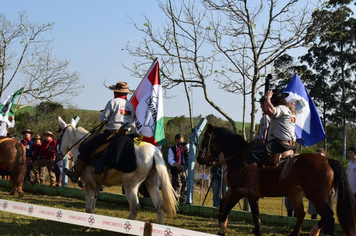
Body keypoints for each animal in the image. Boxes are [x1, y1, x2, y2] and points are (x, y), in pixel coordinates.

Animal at [197, 123, 356, 236]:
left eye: (205, 140)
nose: (199, 159)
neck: (238, 159)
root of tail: (328, 160)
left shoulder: (238, 192)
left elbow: (227, 209)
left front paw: (222, 228)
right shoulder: (248, 194)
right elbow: (254, 215)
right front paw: (256, 231)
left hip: (316, 197)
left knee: (328, 216)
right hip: (299, 194)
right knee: (303, 213)